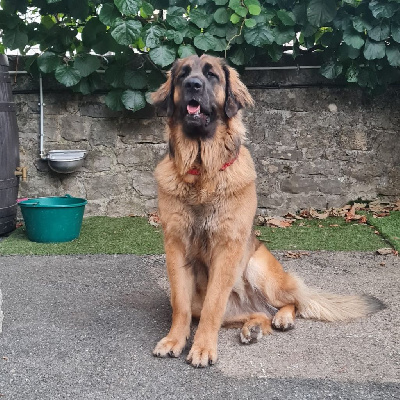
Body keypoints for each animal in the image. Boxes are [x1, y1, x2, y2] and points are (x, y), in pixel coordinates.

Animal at [151, 54, 384, 368]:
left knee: (294, 300)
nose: (193, 85)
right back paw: (253, 327)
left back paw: (282, 318)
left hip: (259, 269)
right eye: (182, 75)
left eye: (211, 76)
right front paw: (175, 340)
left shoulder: (228, 248)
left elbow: (214, 305)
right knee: (256, 312)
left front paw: (202, 348)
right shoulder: (175, 246)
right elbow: (180, 303)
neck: (202, 173)